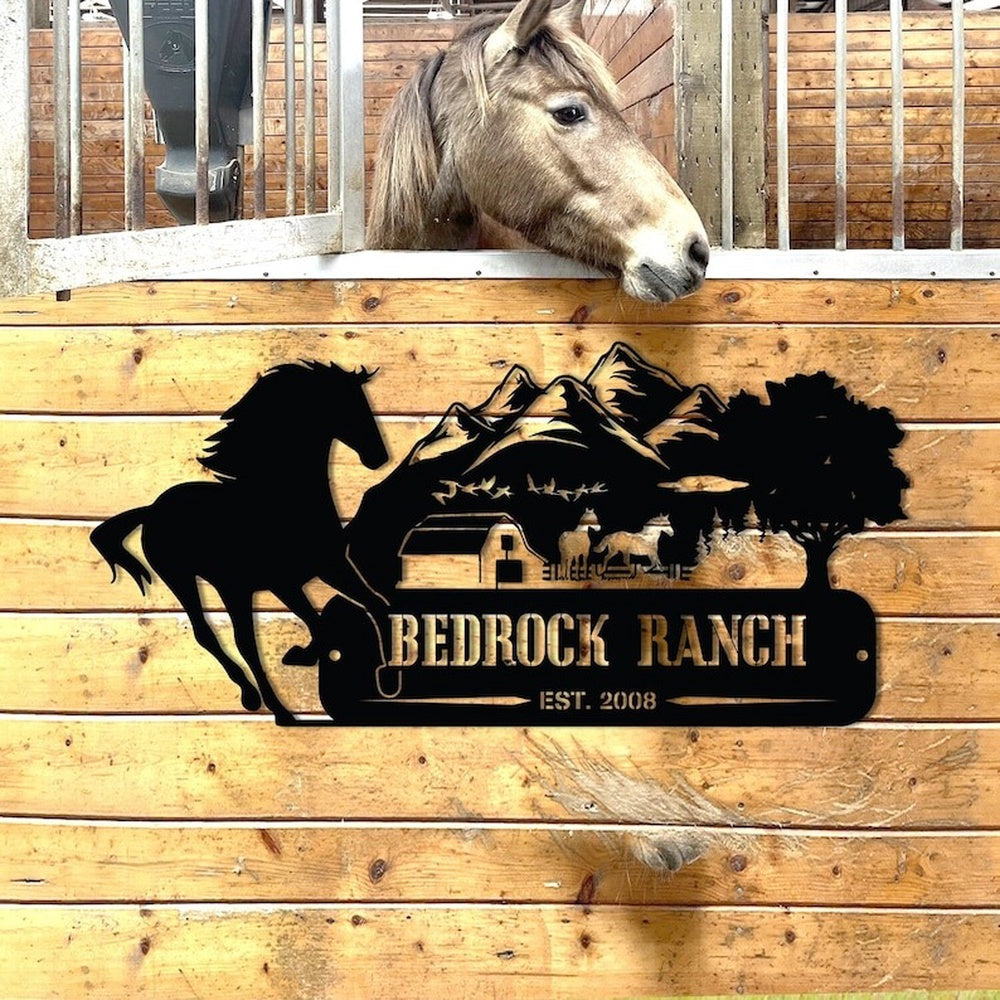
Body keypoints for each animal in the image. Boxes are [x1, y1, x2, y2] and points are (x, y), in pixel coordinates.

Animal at [90, 361, 389, 724]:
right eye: (347, 405)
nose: (378, 456)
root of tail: (152, 509)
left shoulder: (325, 568)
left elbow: (371, 605)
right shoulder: (270, 584)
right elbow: (291, 631)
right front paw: (298, 671)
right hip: (189, 579)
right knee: (215, 636)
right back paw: (260, 701)